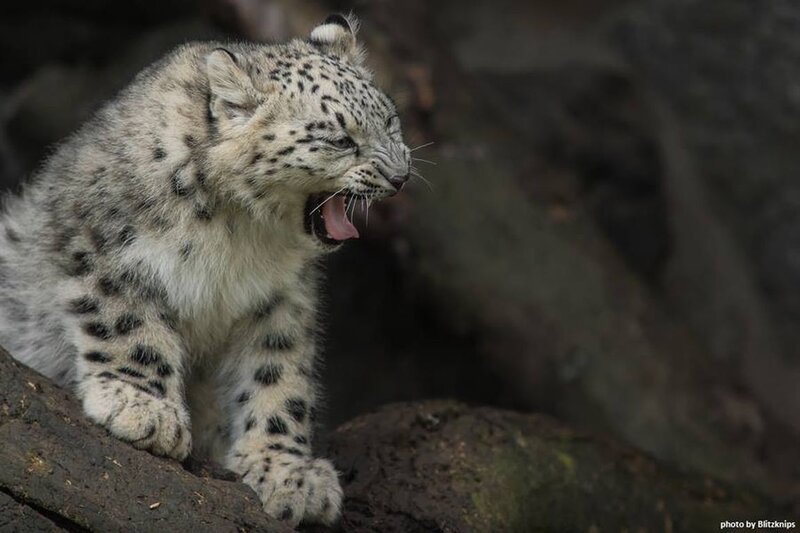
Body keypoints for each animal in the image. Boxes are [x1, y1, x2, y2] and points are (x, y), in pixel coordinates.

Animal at [0, 13, 410, 527]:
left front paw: (287, 472)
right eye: (341, 140)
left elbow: (279, 374)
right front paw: (144, 408)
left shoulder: (279, 301)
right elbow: (129, 327)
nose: (401, 177)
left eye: (390, 120)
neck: (244, 236)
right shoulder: (107, 253)